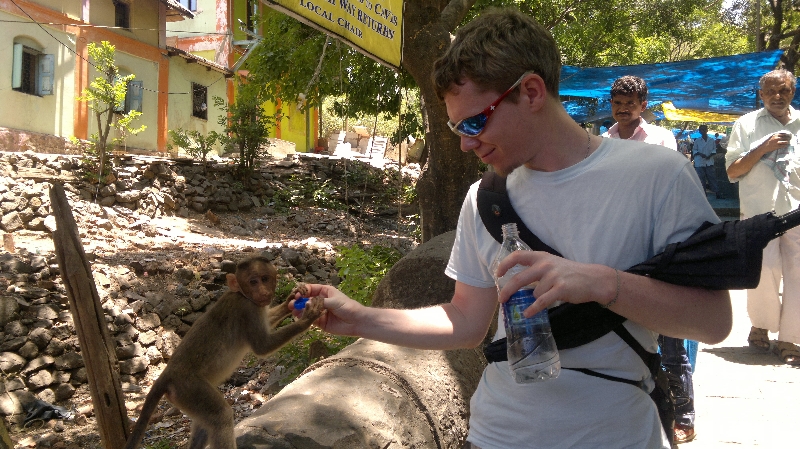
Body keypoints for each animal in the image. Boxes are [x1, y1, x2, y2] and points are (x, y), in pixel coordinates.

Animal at [123, 256, 324, 448]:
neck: (242, 294)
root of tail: (167, 374)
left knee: (207, 422)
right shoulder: (247, 309)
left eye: (265, 279)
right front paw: (308, 317)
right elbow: (262, 347)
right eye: (253, 282)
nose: (263, 291)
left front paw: (291, 299)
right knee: (220, 416)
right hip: (188, 388)